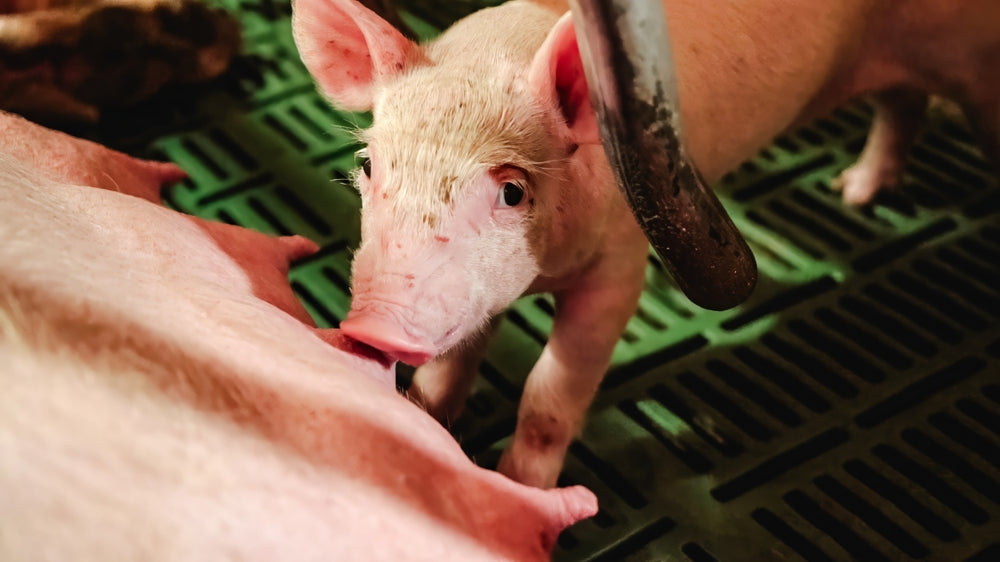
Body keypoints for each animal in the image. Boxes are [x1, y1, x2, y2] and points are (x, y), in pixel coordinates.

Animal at [291, 0, 1000, 488]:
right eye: (370, 164)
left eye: (513, 191)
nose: (374, 324)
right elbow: (446, 370)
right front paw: (427, 424)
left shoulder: (622, 267)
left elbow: (549, 397)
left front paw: (523, 490)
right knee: (904, 102)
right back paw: (853, 194)